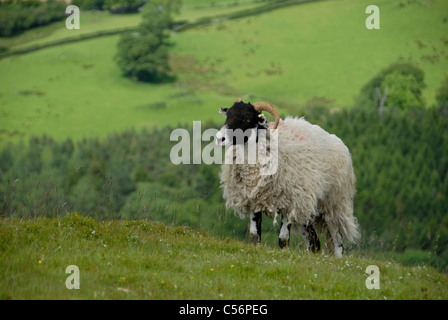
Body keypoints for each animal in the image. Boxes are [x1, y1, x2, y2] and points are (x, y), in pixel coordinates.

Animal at [215, 99, 358, 256]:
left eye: (247, 119)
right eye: (228, 115)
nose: (219, 139)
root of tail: (340, 143)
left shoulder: (289, 203)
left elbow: (283, 240)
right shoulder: (254, 201)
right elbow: (254, 236)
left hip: (334, 204)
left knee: (337, 240)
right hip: (305, 208)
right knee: (313, 242)